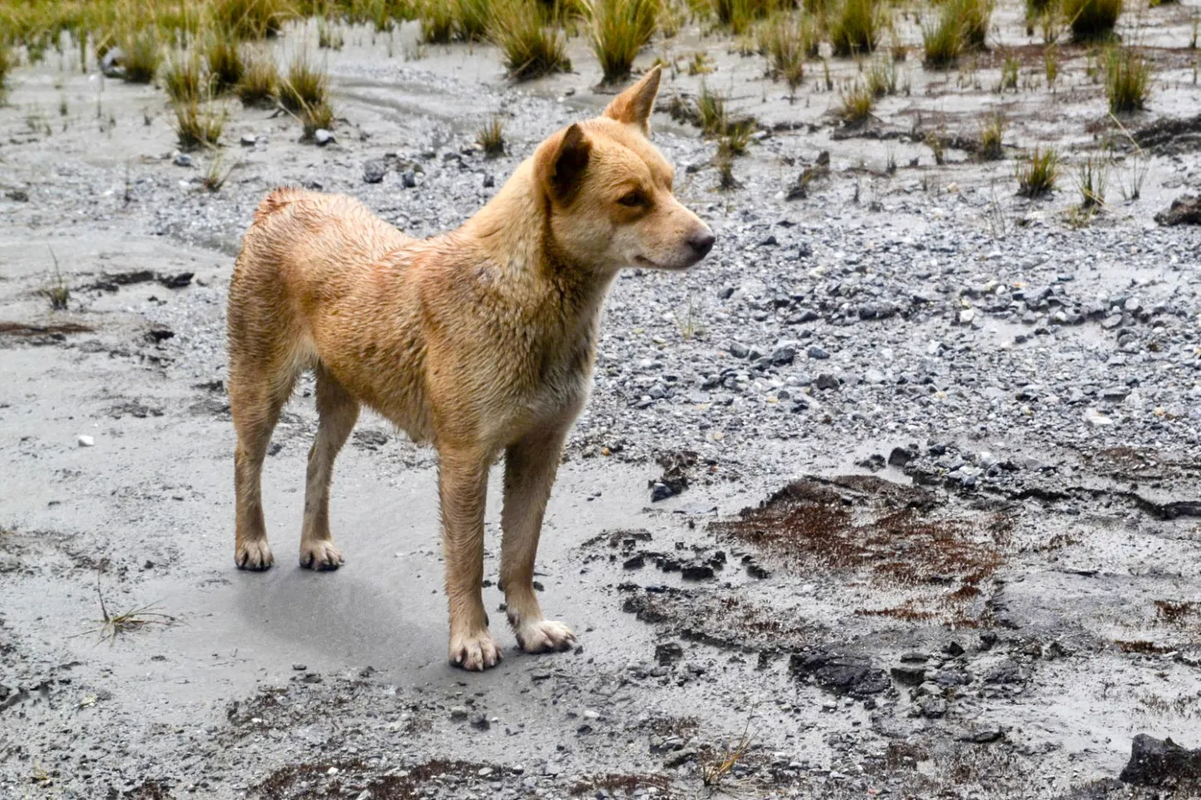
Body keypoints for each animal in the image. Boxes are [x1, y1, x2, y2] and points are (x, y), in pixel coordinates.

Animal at [225, 66, 710, 667]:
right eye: (631, 199)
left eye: (669, 183)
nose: (708, 240)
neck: (525, 298)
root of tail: (283, 200)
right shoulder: (464, 458)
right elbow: (469, 559)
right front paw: (471, 637)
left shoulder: (540, 450)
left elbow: (519, 555)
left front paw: (530, 626)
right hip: (260, 387)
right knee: (246, 461)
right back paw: (251, 541)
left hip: (345, 399)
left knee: (318, 460)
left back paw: (314, 542)